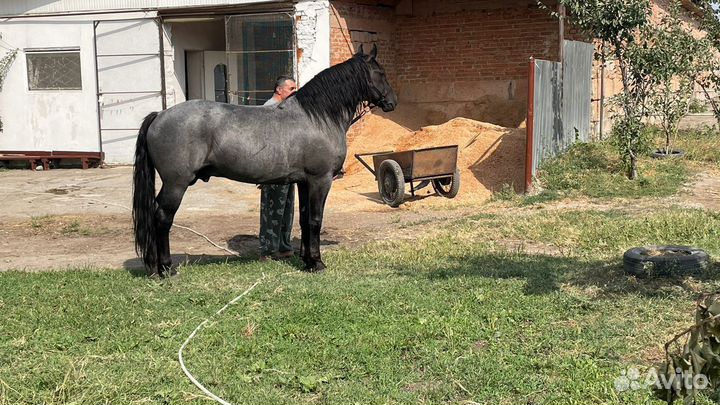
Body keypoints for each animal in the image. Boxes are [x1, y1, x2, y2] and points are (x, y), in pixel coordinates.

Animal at [132, 44, 397, 277]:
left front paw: (306, 260)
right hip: (176, 184)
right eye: (381, 73)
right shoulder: (320, 180)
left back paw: (155, 266)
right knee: (162, 218)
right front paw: (317, 263)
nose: (393, 101)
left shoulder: (303, 182)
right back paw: (166, 269)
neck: (317, 117)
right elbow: (314, 220)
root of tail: (160, 115)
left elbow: (303, 219)